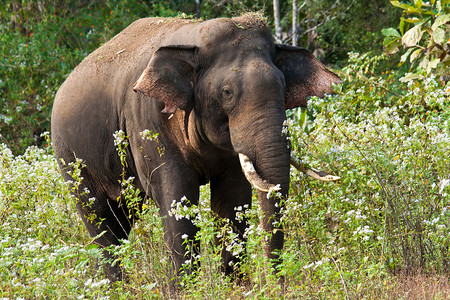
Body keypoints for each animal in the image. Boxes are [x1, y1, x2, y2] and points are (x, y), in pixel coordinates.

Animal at [51, 14, 342, 286]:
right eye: (226, 92)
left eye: (283, 88)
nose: (277, 284)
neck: (197, 38)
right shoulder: (147, 120)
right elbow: (176, 200)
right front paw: (186, 289)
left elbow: (233, 201)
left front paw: (236, 287)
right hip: (71, 159)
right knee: (100, 220)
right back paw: (116, 288)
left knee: (122, 220)